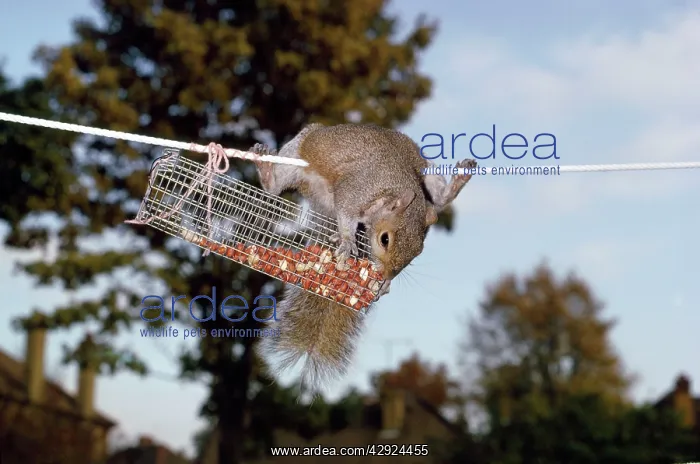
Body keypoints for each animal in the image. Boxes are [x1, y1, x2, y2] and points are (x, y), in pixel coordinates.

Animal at [250, 123, 476, 390]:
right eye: (384, 239)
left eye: (417, 253)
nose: (386, 274)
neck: (390, 190)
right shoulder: (354, 190)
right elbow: (347, 214)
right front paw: (349, 241)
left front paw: (384, 284)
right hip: (296, 156)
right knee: (276, 186)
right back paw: (267, 171)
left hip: (428, 172)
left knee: (438, 199)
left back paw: (454, 185)